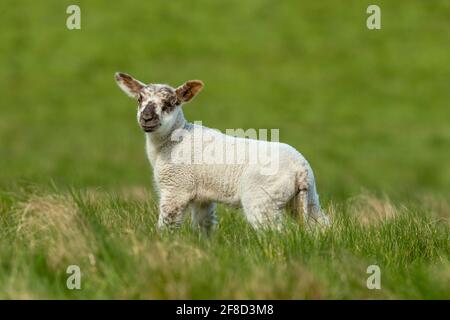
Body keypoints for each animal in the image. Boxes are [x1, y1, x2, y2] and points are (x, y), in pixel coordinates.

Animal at [112, 72, 330, 232]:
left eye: (170, 103)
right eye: (139, 99)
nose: (147, 118)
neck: (173, 141)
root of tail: (300, 169)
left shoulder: (175, 190)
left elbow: (167, 226)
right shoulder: (203, 198)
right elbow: (204, 226)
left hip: (262, 199)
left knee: (274, 233)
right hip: (308, 198)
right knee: (320, 225)